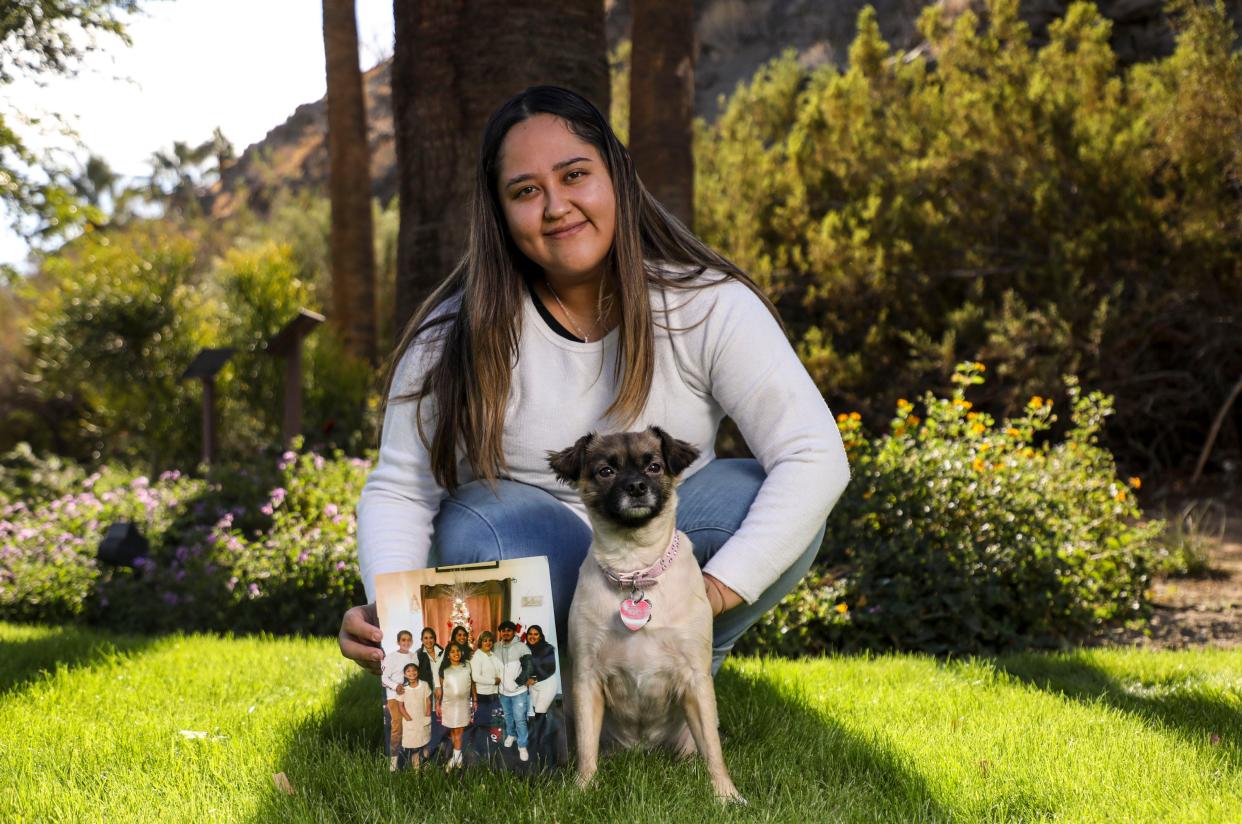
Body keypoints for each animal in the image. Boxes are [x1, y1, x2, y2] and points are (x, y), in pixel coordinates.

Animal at [548, 427, 740, 800]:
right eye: (606, 471)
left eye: (653, 467)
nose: (636, 485)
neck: (634, 569)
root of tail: (641, 750)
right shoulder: (587, 680)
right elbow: (587, 748)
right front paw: (583, 788)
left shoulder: (695, 681)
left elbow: (713, 750)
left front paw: (726, 795)